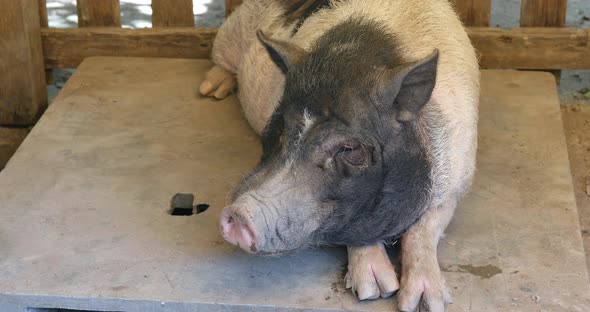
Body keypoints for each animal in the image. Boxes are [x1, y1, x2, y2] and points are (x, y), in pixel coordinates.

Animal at [200, 1, 480, 310]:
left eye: (350, 149)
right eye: (281, 126)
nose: (238, 212)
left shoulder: (455, 180)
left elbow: (423, 229)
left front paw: (421, 303)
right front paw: (375, 290)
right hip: (233, 30)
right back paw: (211, 92)